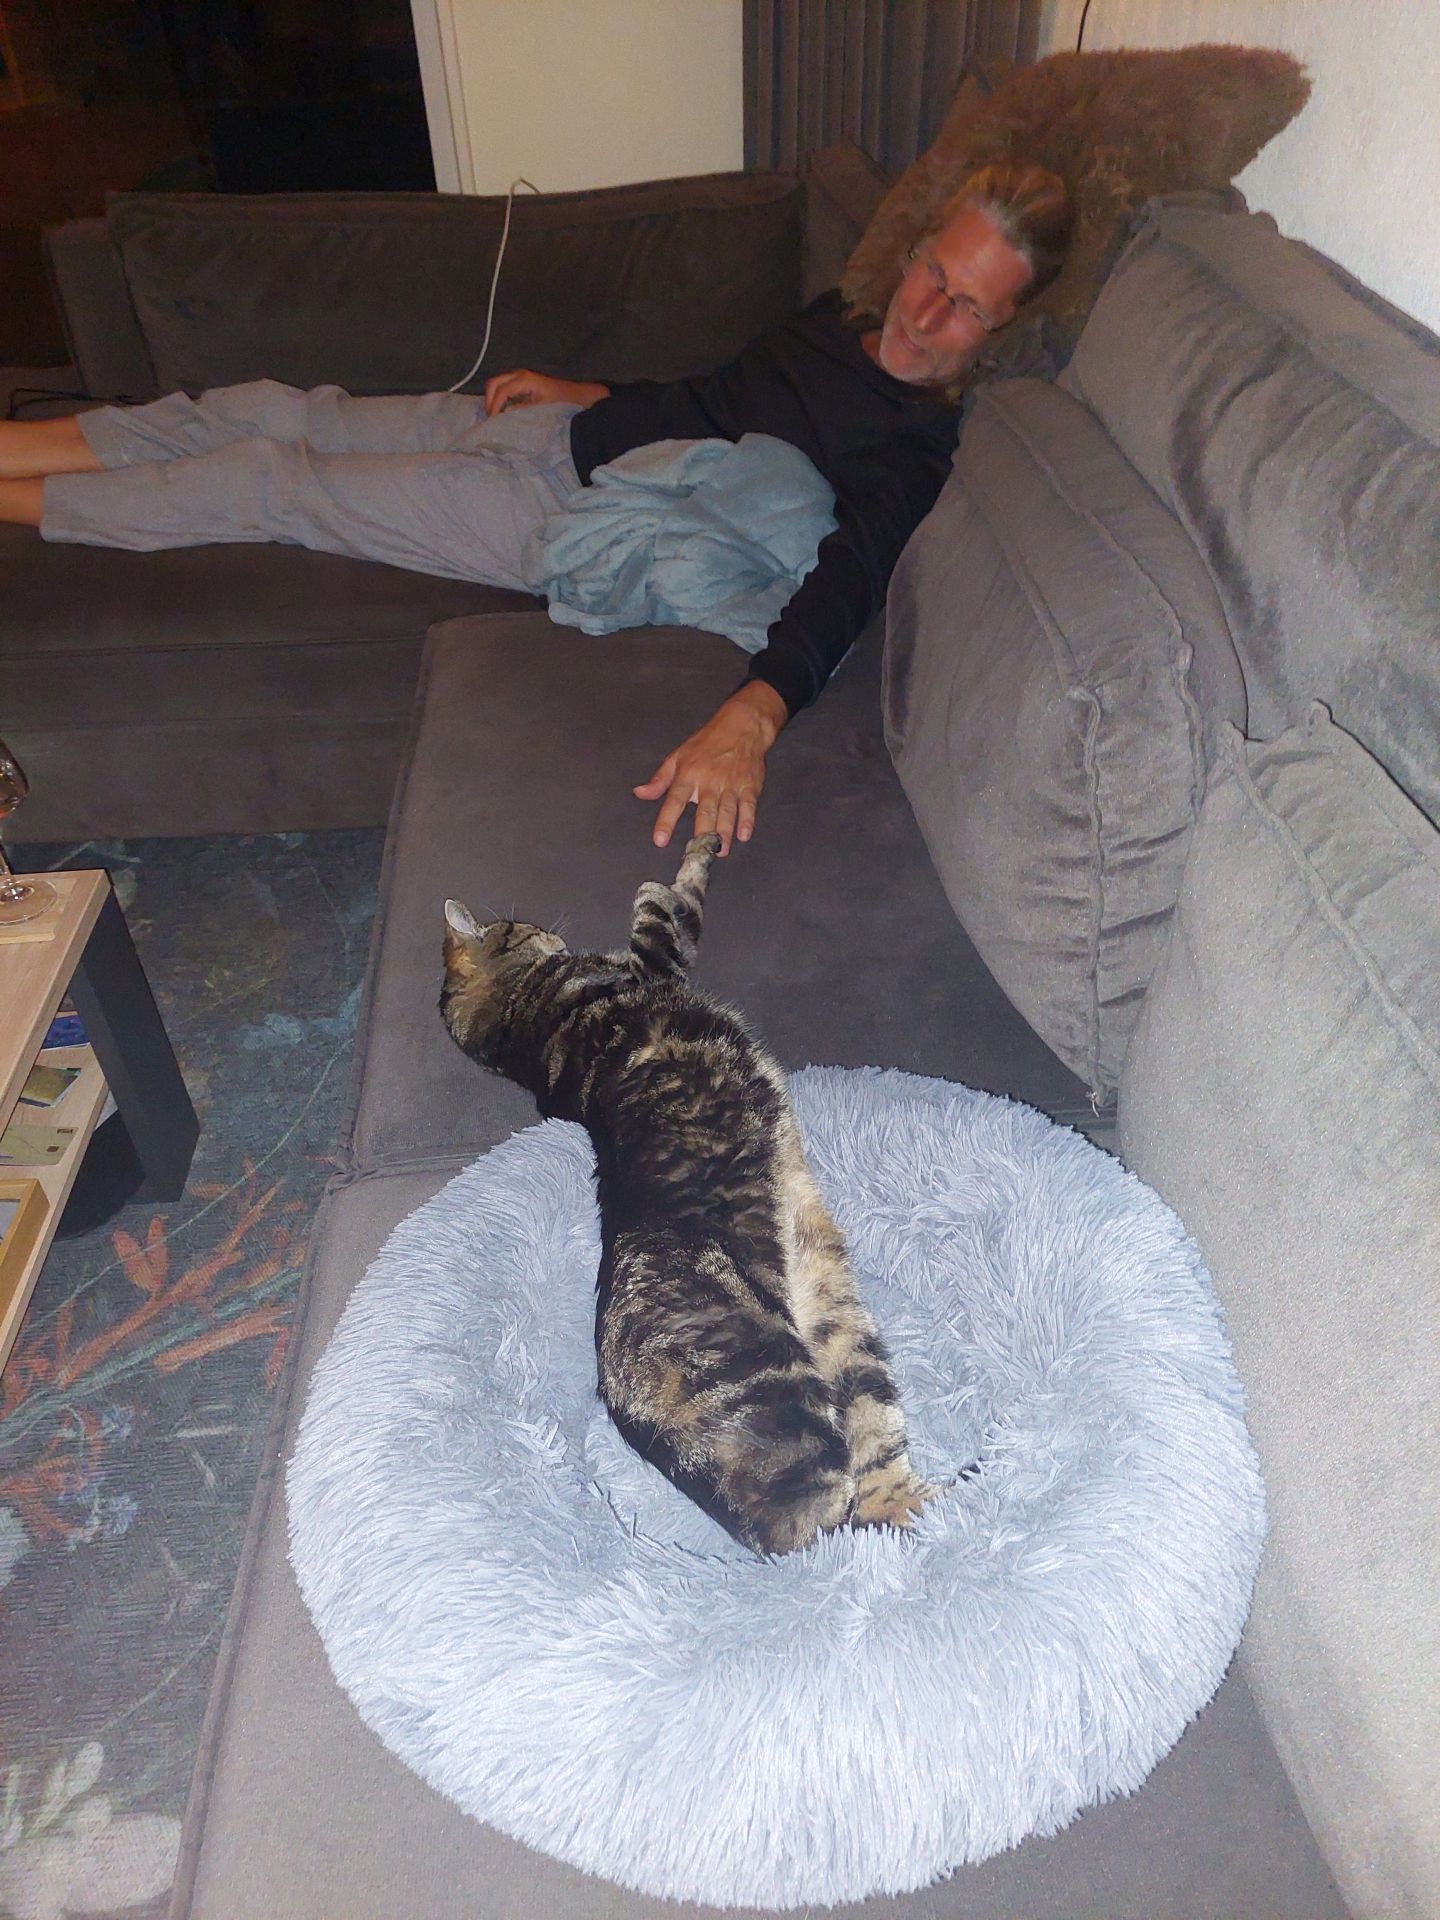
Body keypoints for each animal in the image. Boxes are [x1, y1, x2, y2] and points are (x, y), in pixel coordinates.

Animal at [440, 833, 930, 1556]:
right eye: (517, 925)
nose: (551, 933)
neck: (513, 1028)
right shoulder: (655, 960)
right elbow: (664, 904)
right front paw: (694, 846)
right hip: (788, 1387)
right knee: (824, 1528)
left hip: (846, 1332)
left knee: (876, 1476)